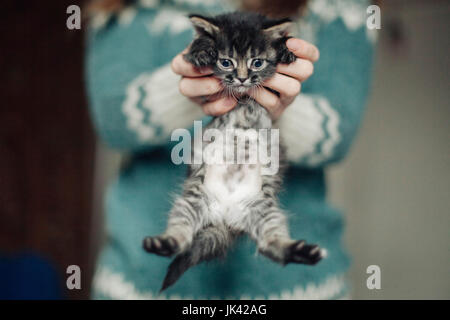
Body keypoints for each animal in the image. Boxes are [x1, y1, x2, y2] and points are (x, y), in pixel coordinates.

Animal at [143, 11, 324, 292]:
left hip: (265, 211)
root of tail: (226, 216)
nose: (241, 78)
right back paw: (163, 243)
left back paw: (300, 251)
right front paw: (202, 50)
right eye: (226, 62)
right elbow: (192, 50)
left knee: (270, 245)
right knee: (181, 234)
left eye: (257, 63)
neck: (242, 97)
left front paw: (285, 49)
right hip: (191, 202)